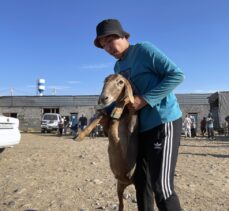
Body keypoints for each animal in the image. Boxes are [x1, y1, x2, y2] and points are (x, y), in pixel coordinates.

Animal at [77, 73, 138, 210]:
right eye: (105, 81)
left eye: (121, 82)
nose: (104, 98)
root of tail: (128, 182)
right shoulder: (106, 124)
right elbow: (99, 116)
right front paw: (79, 136)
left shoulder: (131, 125)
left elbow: (130, 108)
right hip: (119, 185)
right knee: (121, 204)